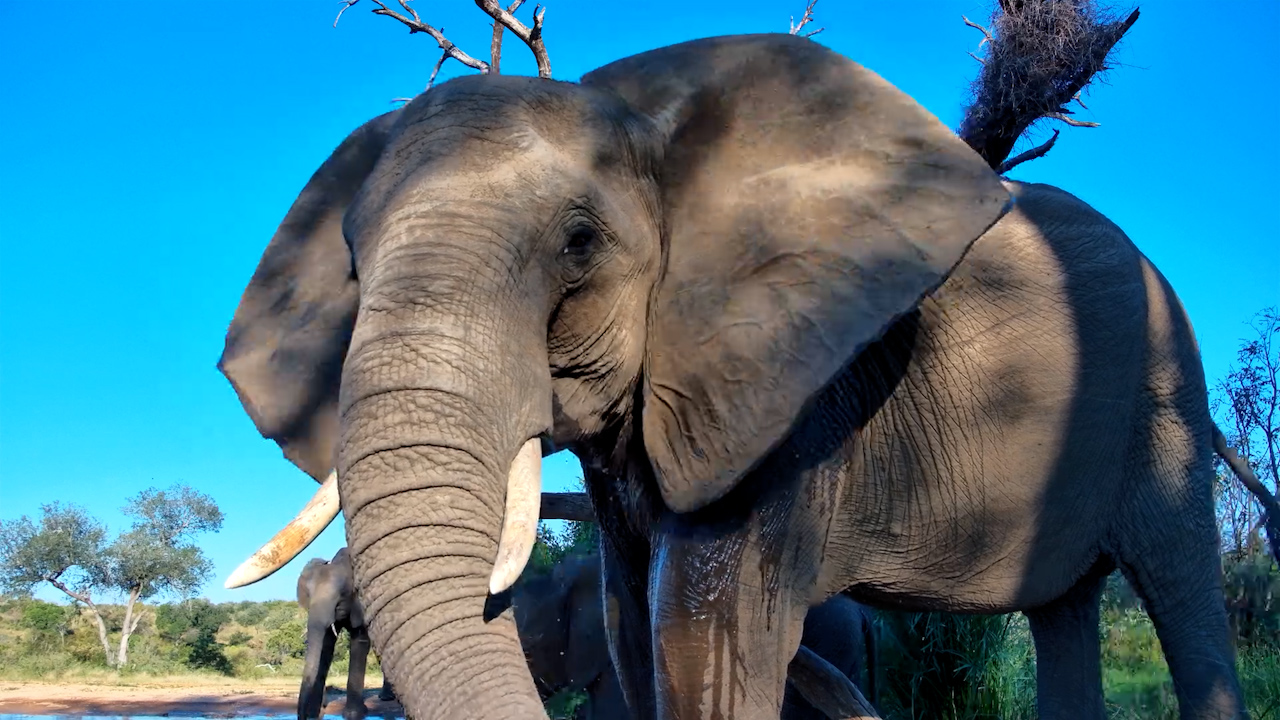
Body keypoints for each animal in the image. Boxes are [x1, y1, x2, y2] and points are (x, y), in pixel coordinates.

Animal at [296, 547, 395, 720]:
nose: (304, 717)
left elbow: (359, 642)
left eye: (341, 597)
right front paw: (314, 714)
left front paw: (353, 715)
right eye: (308, 597)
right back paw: (386, 697)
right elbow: (326, 647)